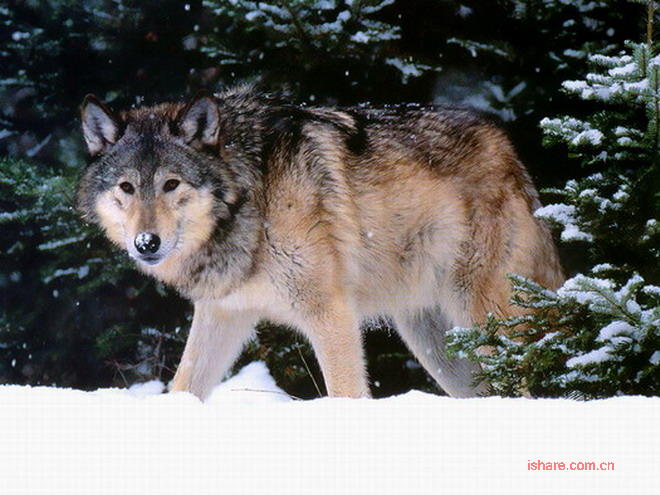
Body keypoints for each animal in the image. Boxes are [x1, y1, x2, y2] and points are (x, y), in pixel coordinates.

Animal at [77, 85, 564, 402]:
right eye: (127, 188)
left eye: (171, 184)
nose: (146, 242)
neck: (252, 198)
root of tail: (511, 154)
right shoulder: (223, 313)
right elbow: (183, 385)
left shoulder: (330, 313)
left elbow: (346, 394)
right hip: (437, 347)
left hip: (485, 323)